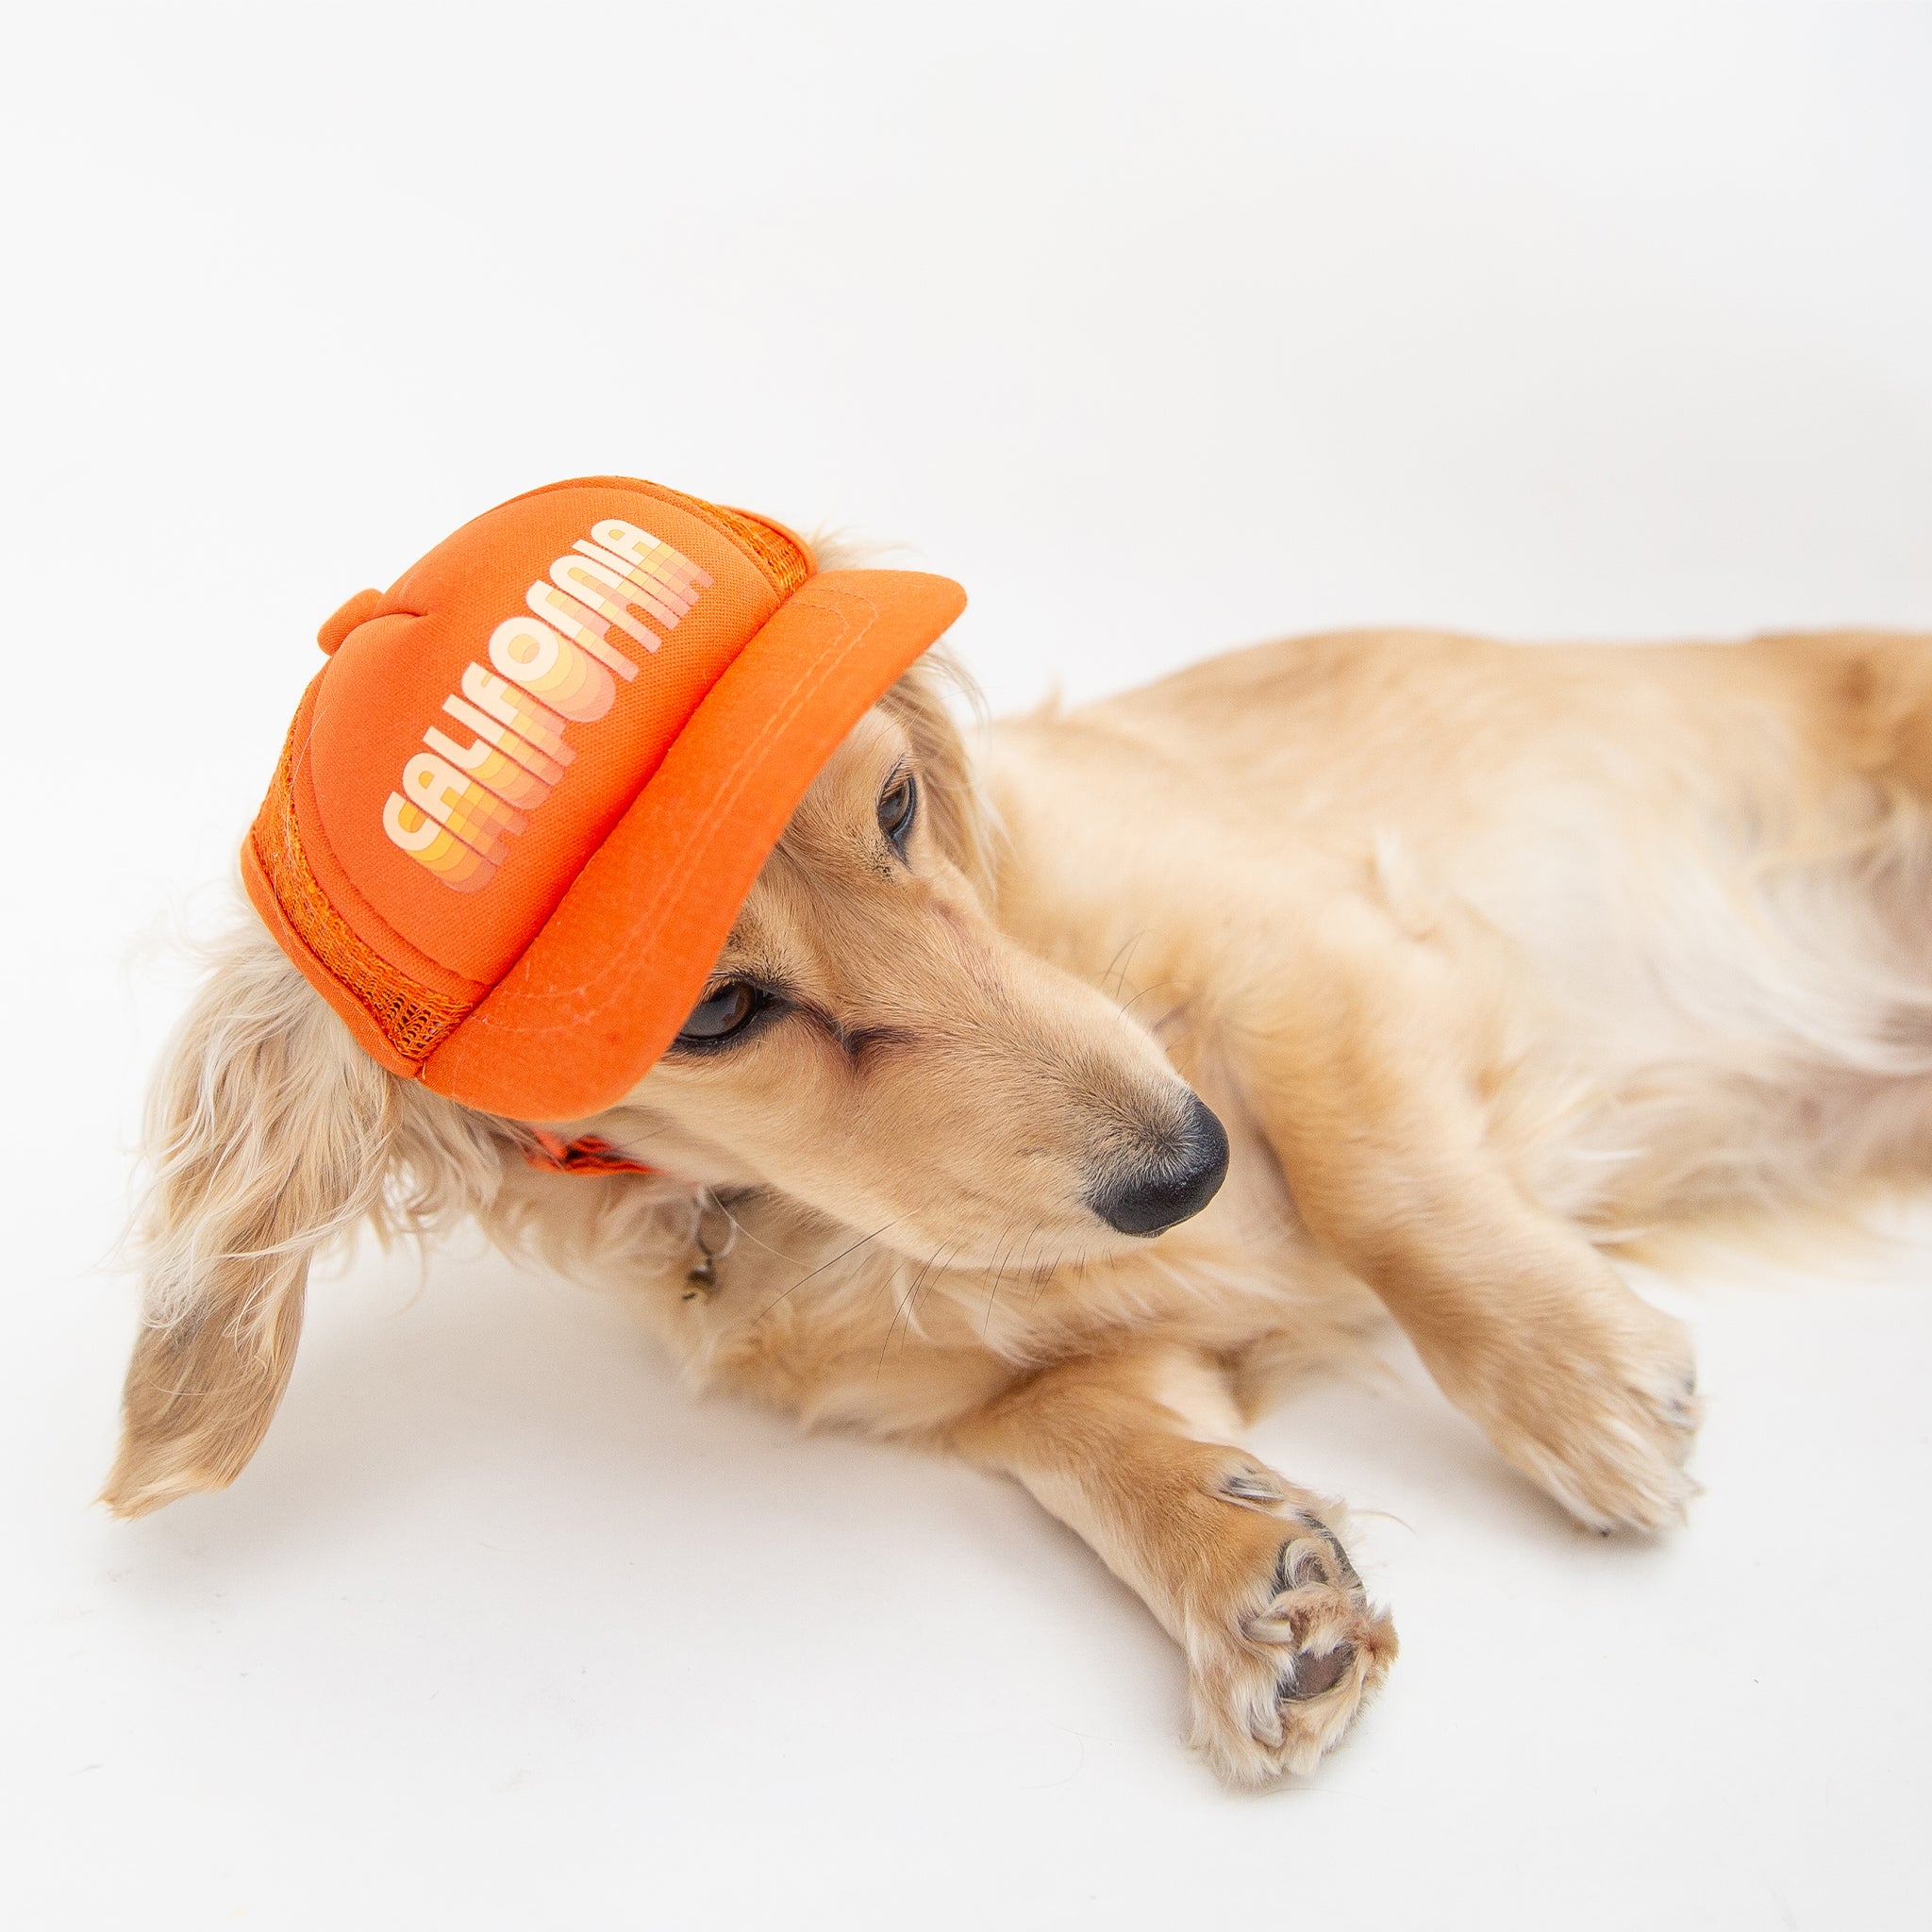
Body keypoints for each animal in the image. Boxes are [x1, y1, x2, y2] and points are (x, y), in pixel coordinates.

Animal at [106, 509, 1932, 1777]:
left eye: (900, 806)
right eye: (715, 1012)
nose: (1187, 1167)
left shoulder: (1310, 950)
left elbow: (1380, 1181)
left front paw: (1575, 1387)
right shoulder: (1014, 1387)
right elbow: (1079, 1433)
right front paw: (1248, 1569)